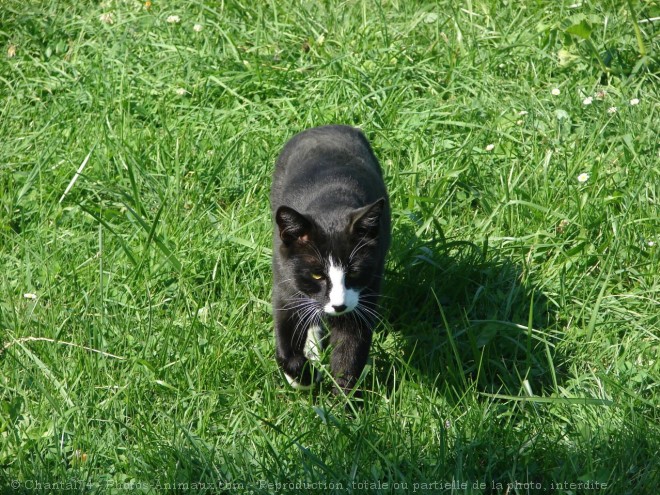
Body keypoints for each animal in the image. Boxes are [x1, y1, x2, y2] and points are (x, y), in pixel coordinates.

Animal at [270, 126, 390, 398]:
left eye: (354, 271)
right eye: (317, 275)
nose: (338, 305)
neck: (329, 206)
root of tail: (325, 127)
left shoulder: (363, 297)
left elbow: (349, 354)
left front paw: (343, 404)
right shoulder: (285, 283)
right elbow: (285, 345)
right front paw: (304, 377)